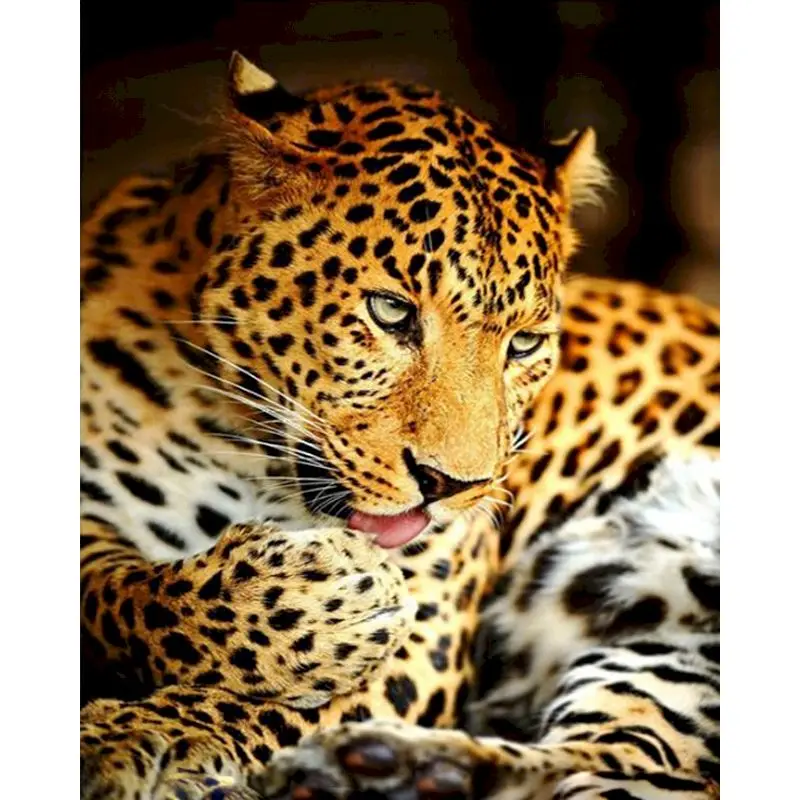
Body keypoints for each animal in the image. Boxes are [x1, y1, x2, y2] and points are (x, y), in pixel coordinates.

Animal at [80, 52, 720, 799]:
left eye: (525, 344)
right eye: (390, 312)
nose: (452, 486)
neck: (236, 442)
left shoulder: (428, 629)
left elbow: (263, 705)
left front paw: (146, 736)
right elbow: (120, 592)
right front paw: (294, 596)